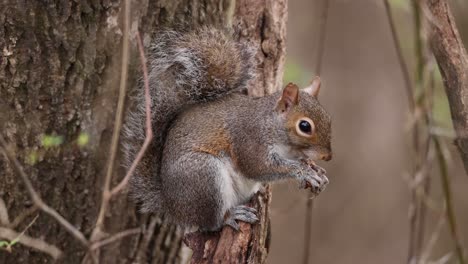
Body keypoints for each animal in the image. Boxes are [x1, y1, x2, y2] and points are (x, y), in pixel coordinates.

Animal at [122, 27, 330, 231]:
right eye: (304, 126)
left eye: (329, 119)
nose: (327, 156)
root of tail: (173, 207)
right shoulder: (249, 139)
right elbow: (259, 167)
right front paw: (303, 172)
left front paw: (314, 168)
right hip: (204, 175)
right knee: (210, 222)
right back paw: (230, 216)